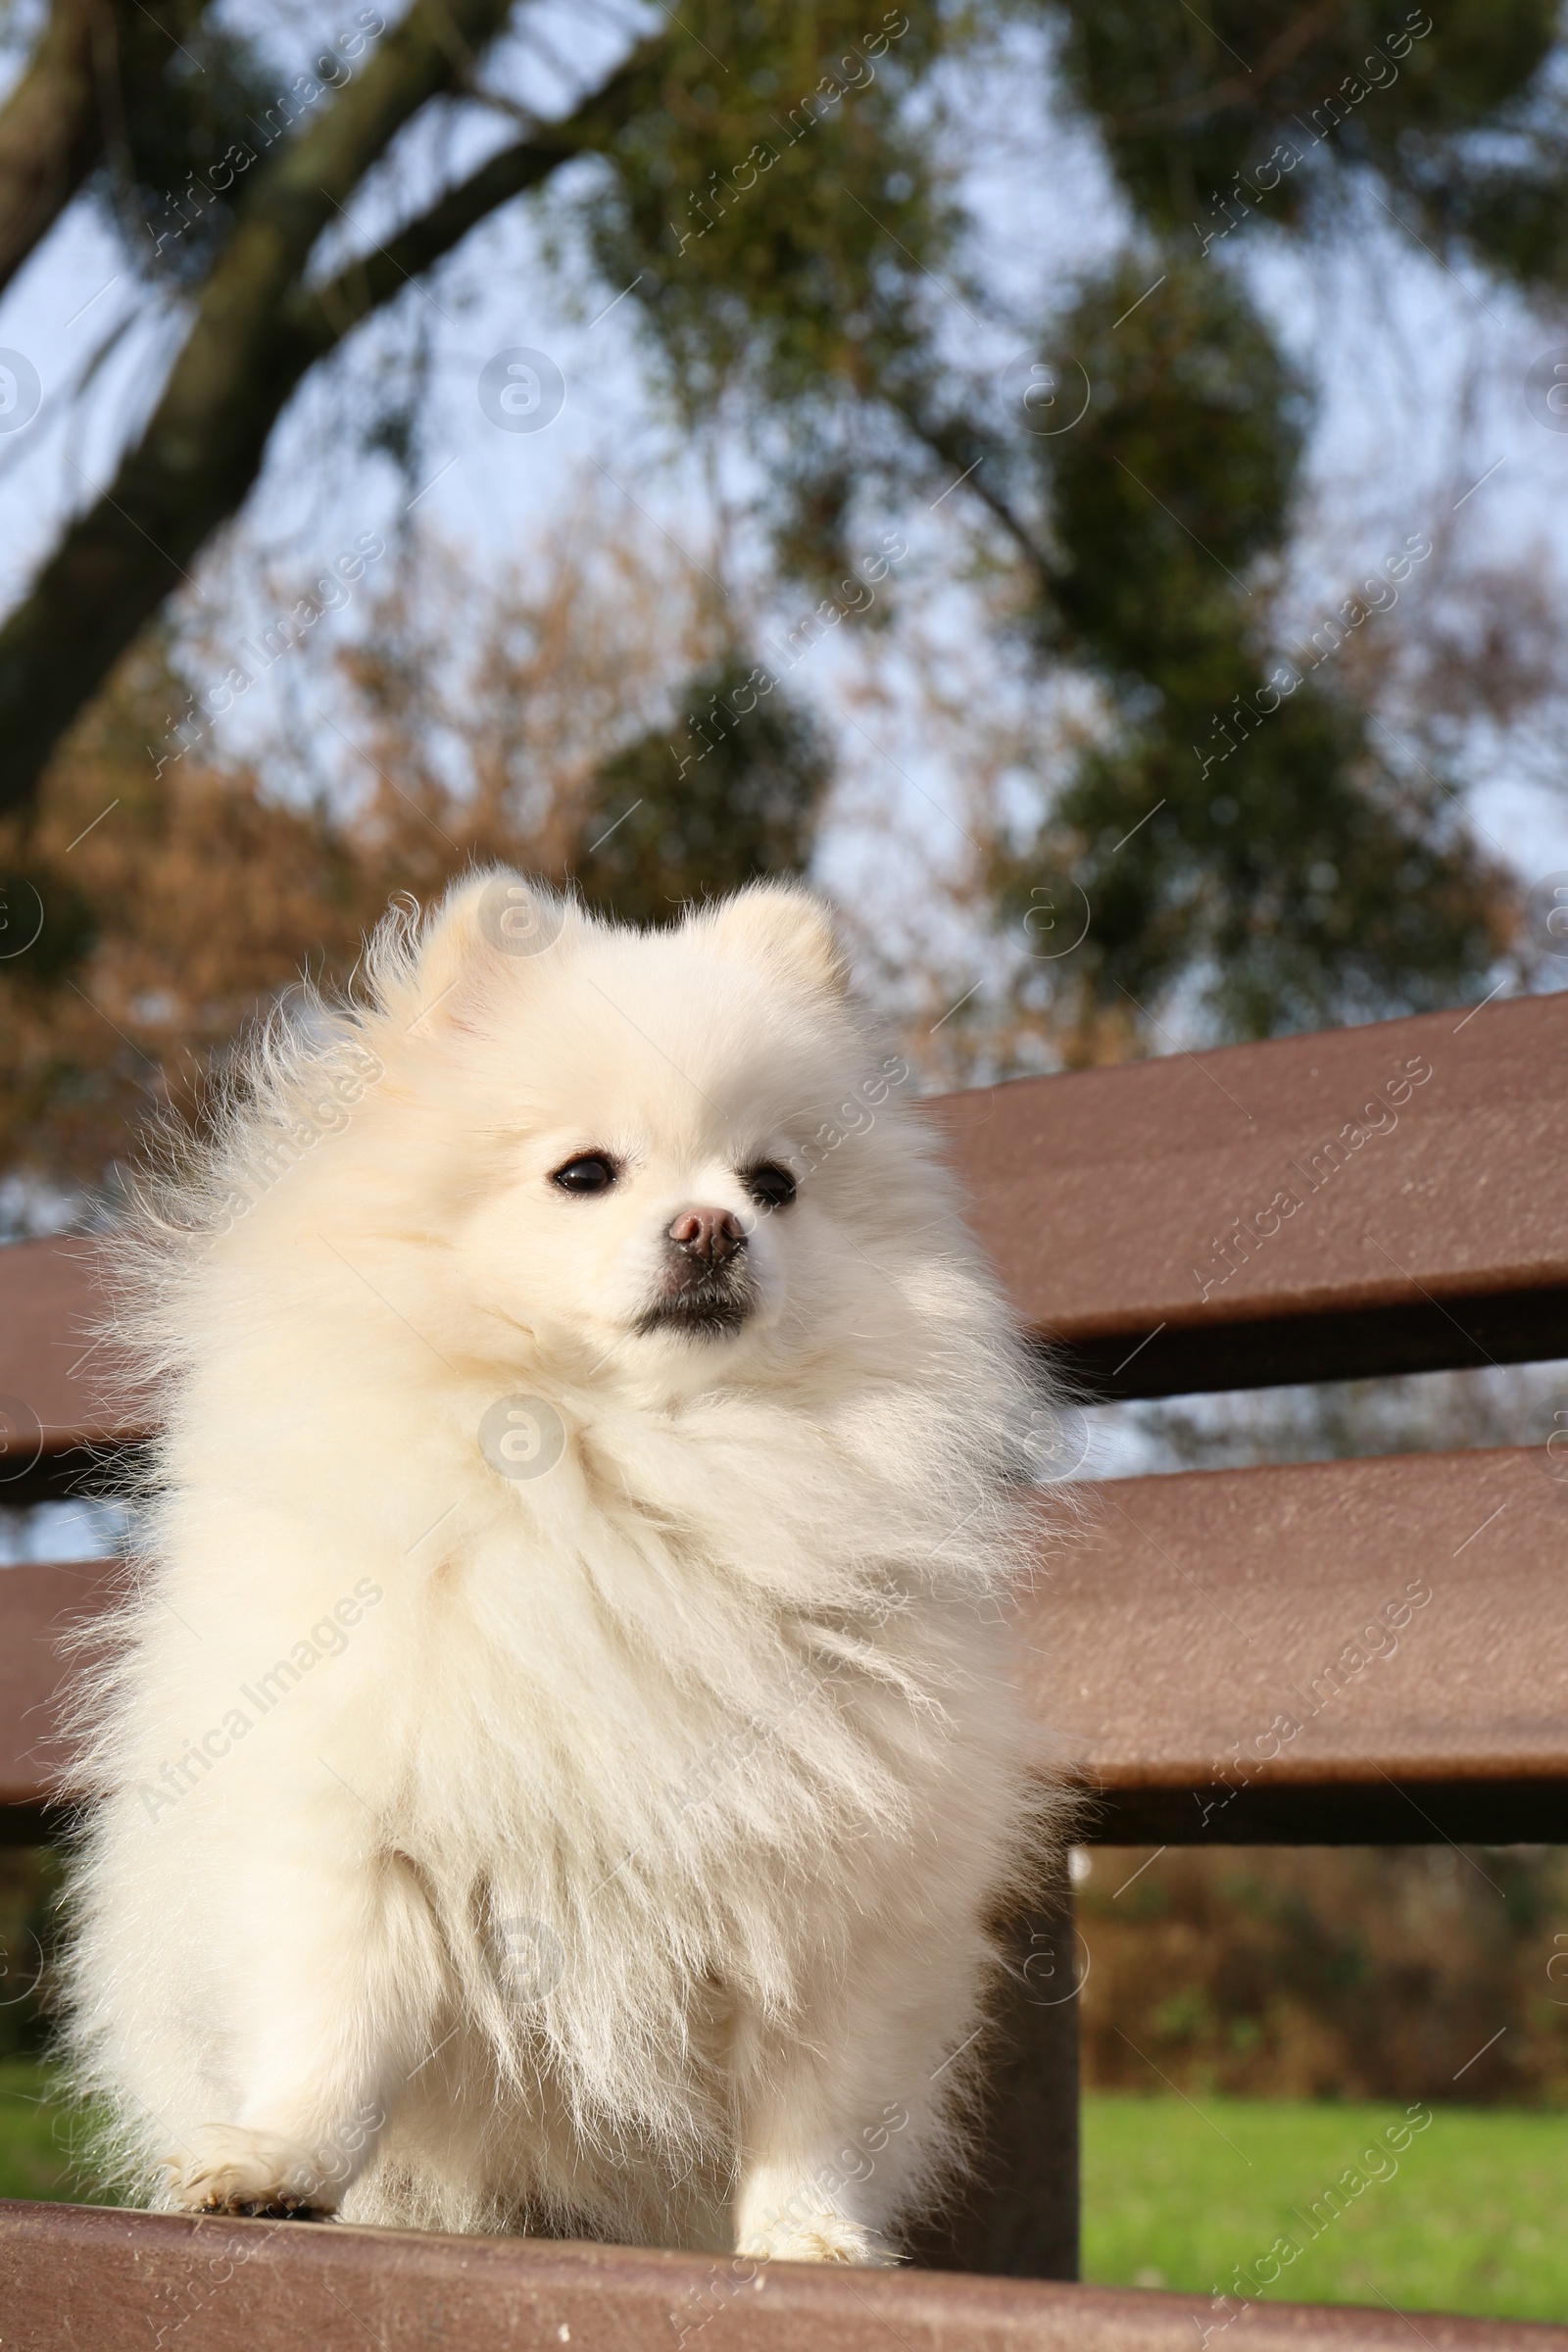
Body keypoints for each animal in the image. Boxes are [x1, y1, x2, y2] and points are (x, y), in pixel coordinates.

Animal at [64, 879, 1067, 2258]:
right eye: (583, 1174)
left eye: (775, 1182)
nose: (712, 1226)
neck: (638, 1464)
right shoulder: (357, 1831)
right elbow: (334, 2032)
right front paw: (276, 2164)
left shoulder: (840, 1888)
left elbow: (812, 2095)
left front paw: (809, 2236)